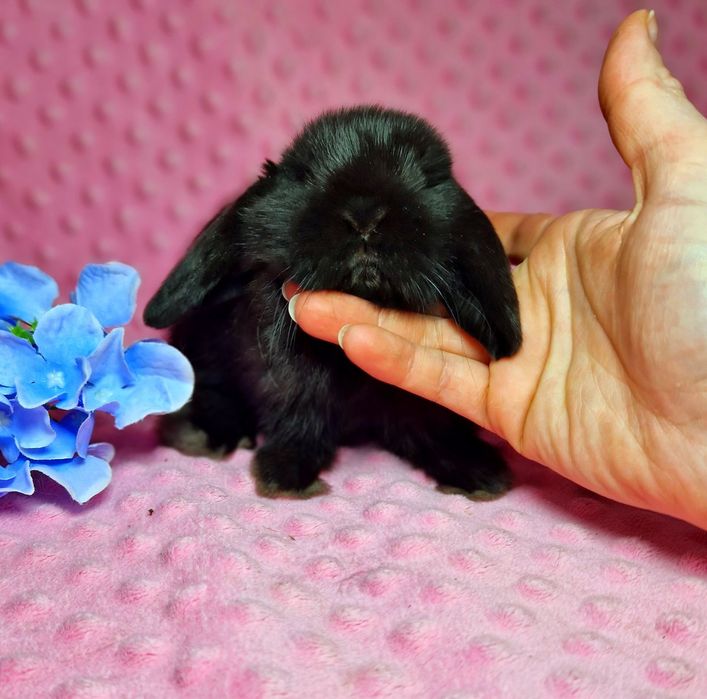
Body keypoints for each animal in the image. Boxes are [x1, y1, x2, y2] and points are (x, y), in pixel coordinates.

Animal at [144, 105, 522, 498]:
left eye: (428, 176)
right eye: (305, 173)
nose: (365, 215)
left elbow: (431, 425)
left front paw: (479, 471)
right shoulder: (293, 379)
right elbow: (304, 412)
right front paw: (287, 474)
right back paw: (204, 433)